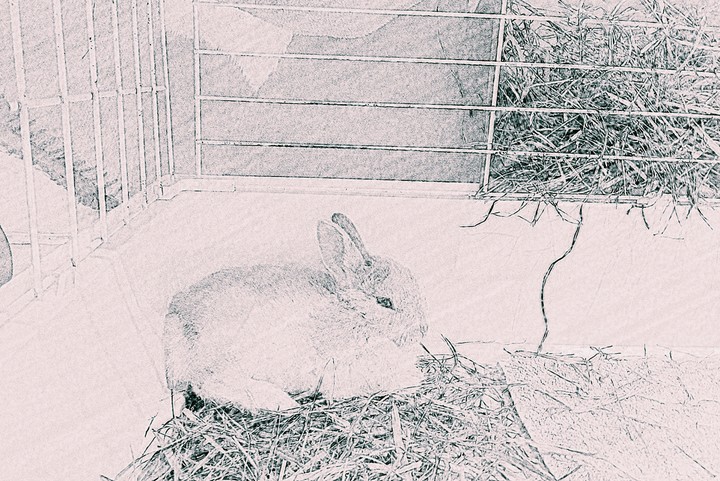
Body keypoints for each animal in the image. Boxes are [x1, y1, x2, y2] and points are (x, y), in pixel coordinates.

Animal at [163, 213, 428, 412]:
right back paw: (279, 402)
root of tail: (175, 318)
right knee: (208, 381)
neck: (353, 314)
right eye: (384, 302)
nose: (423, 330)